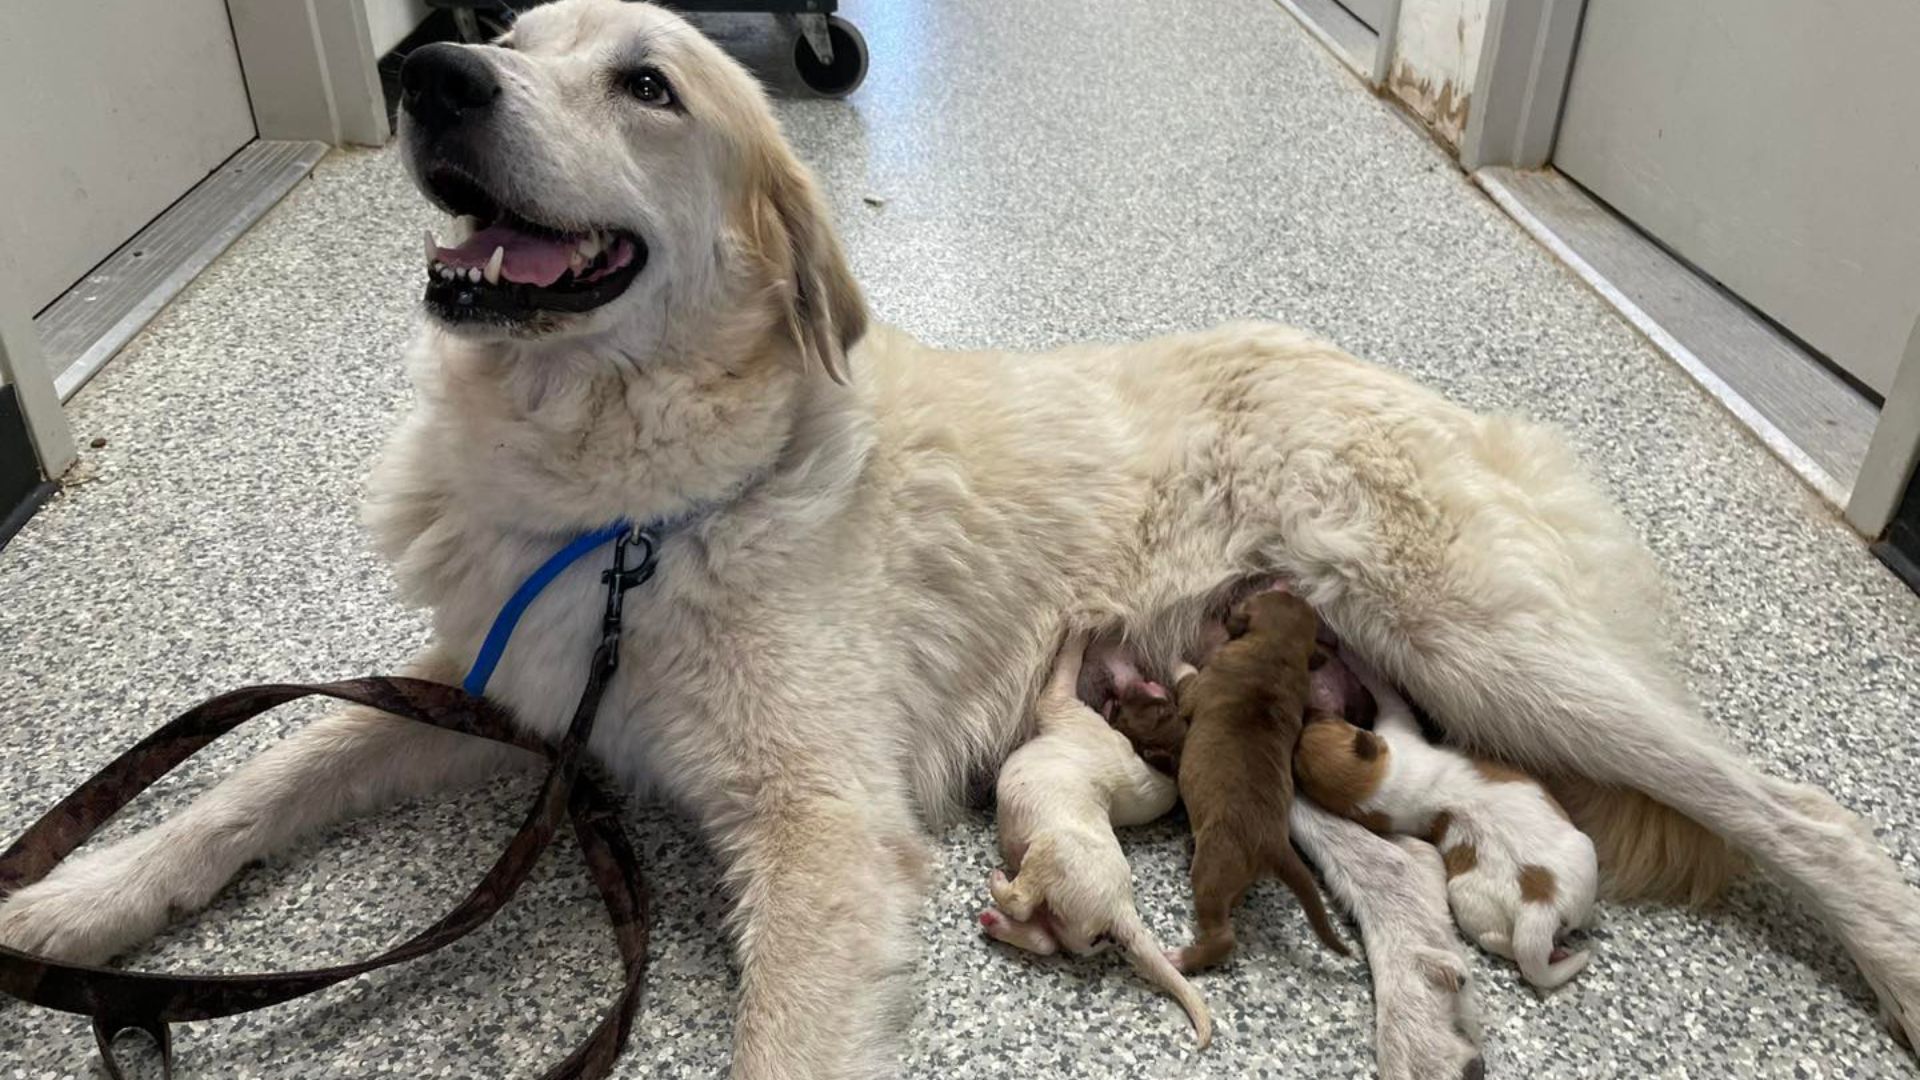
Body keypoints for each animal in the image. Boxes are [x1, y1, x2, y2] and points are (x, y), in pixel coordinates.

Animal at [983, 626, 1205, 1037]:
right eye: (1165, 700)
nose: (1141, 667)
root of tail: (1119, 911)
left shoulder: (1061, 704)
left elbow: (1065, 669)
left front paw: (1079, 631)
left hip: (1050, 854)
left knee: (1022, 901)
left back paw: (999, 887)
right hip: (1068, 923)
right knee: (1045, 939)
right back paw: (995, 923)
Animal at [1159, 588, 1344, 968]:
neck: (1276, 650)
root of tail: (1274, 842)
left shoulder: (1197, 687)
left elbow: (1186, 678)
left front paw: (1176, 660)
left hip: (1213, 868)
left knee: (1223, 937)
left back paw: (1181, 958)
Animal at [1290, 657, 1605, 983]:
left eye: (1321, 722)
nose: (1309, 712)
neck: (1379, 791)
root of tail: (1539, 907)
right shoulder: (1398, 727)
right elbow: (1388, 695)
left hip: (1474, 907)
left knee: (1496, 940)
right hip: (1584, 854)